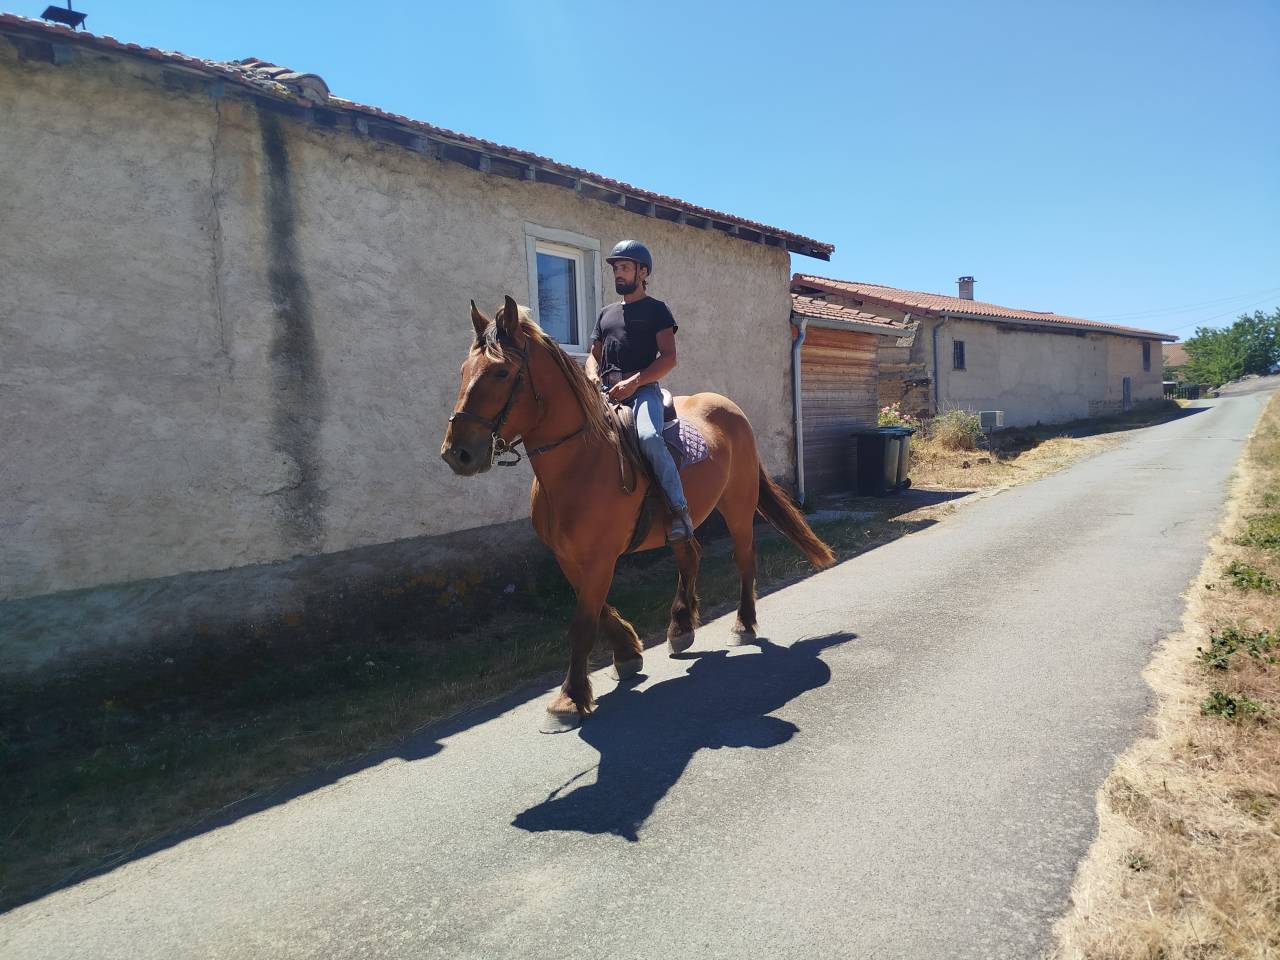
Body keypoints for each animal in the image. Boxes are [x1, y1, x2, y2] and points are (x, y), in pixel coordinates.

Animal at [441, 296, 834, 732]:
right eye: (464, 371)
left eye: (501, 371)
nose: (457, 453)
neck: (581, 461)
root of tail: (731, 409)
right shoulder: (568, 556)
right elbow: (594, 610)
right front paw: (627, 654)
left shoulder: (599, 557)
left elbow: (582, 622)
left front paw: (568, 699)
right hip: (679, 523)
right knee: (690, 556)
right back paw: (680, 627)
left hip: (737, 503)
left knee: (744, 559)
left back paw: (742, 625)